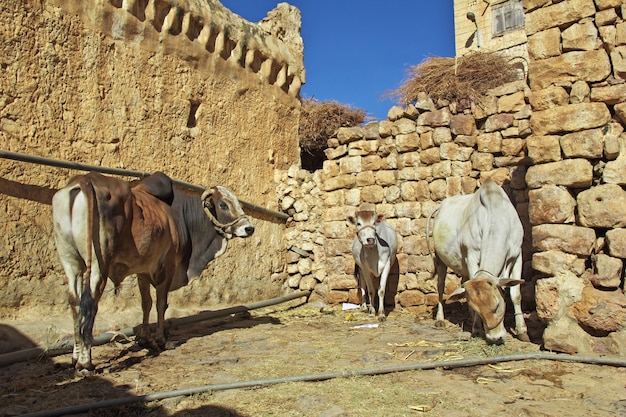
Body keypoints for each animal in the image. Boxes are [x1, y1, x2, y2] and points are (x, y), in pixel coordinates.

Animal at [53, 171, 254, 376]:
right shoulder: (167, 267)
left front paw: (144, 339)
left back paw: (75, 357)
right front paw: (161, 339)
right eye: (223, 205)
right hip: (97, 265)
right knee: (88, 304)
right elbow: (160, 304)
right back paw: (85, 363)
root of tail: (85, 179)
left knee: (74, 302)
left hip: (71, 262)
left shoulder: (143, 271)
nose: (249, 228)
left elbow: (146, 304)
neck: (178, 216)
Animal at [426, 180, 524, 342]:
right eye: (478, 308)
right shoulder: (471, 256)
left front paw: (522, 330)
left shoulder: (517, 255)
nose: (494, 337)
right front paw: (477, 329)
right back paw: (440, 318)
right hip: (440, 259)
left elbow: (515, 294)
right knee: (440, 286)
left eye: (497, 305)